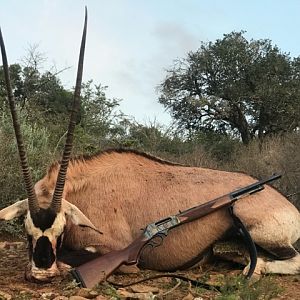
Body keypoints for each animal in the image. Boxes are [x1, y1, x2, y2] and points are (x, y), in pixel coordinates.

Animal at [0, 8, 300, 282]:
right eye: (26, 228)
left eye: (61, 229)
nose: (41, 272)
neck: (86, 189)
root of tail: (288, 205)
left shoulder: (115, 249)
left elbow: (79, 258)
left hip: (254, 224)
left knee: (292, 260)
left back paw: (254, 268)